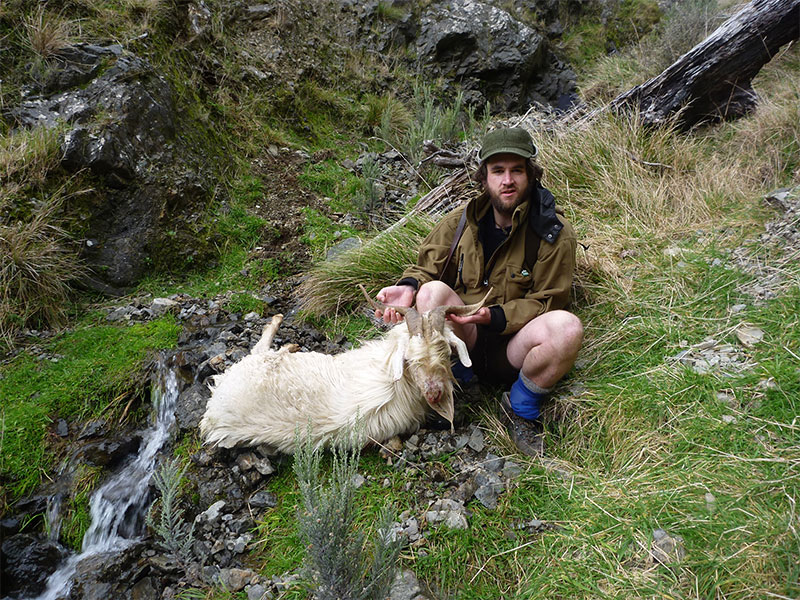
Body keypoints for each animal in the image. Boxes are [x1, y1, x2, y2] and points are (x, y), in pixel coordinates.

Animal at [198, 288, 488, 452]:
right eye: (409, 358)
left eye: (446, 351)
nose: (434, 394)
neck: (396, 380)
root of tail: (212, 410)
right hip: (256, 364)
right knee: (260, 348)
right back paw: (284, 333)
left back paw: (287, 339)